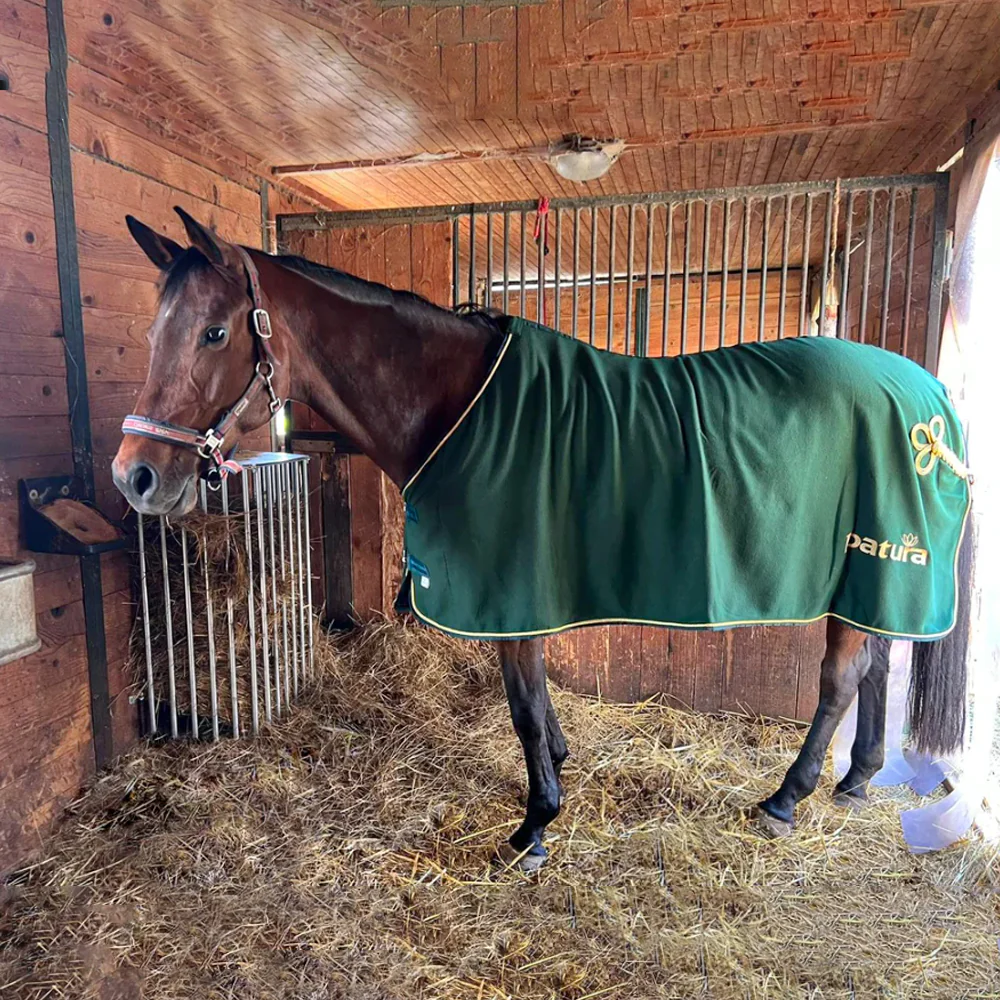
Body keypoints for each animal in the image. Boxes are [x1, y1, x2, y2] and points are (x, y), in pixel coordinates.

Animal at [113, 208, 972, 871]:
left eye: (214, 332)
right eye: (154, 330)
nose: (135, 476)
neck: (454, 406)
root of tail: (931, 397)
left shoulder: (508, 591)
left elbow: (524, 705)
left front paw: (534, 826)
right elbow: (540, 704)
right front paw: (556, 775)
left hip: (868, 566)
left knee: (839, 679)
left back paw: (786, 797)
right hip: (870, 576)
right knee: (876, 662)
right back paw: (854, 780)